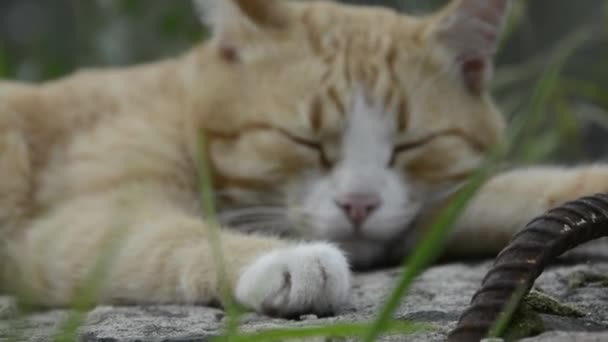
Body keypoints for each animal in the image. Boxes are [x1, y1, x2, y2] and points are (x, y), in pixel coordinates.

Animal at [1, 0, 608, 316]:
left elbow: (518, 191)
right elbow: (167, 237)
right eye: (306, 142)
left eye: (410, 146)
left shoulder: (432, 210)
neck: (182, 103)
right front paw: (282, 260)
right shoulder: (76, 221)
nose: (359, 204)